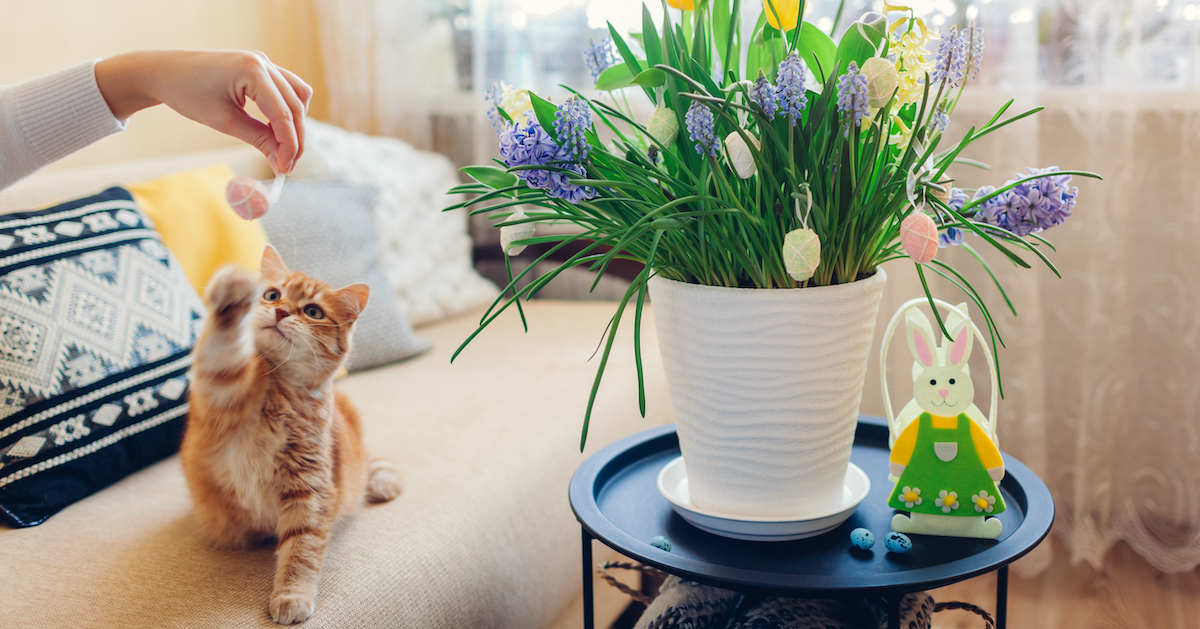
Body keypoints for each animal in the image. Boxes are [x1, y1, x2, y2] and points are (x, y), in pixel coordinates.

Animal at [180, 246, 400, 624]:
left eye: (313, 311)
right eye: (272, 295)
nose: (281, 311)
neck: (280, 394)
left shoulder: (310, 489)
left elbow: (302, 551)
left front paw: (290, 595)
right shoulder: (220, 397)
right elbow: (222, 351)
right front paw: (231, 293)